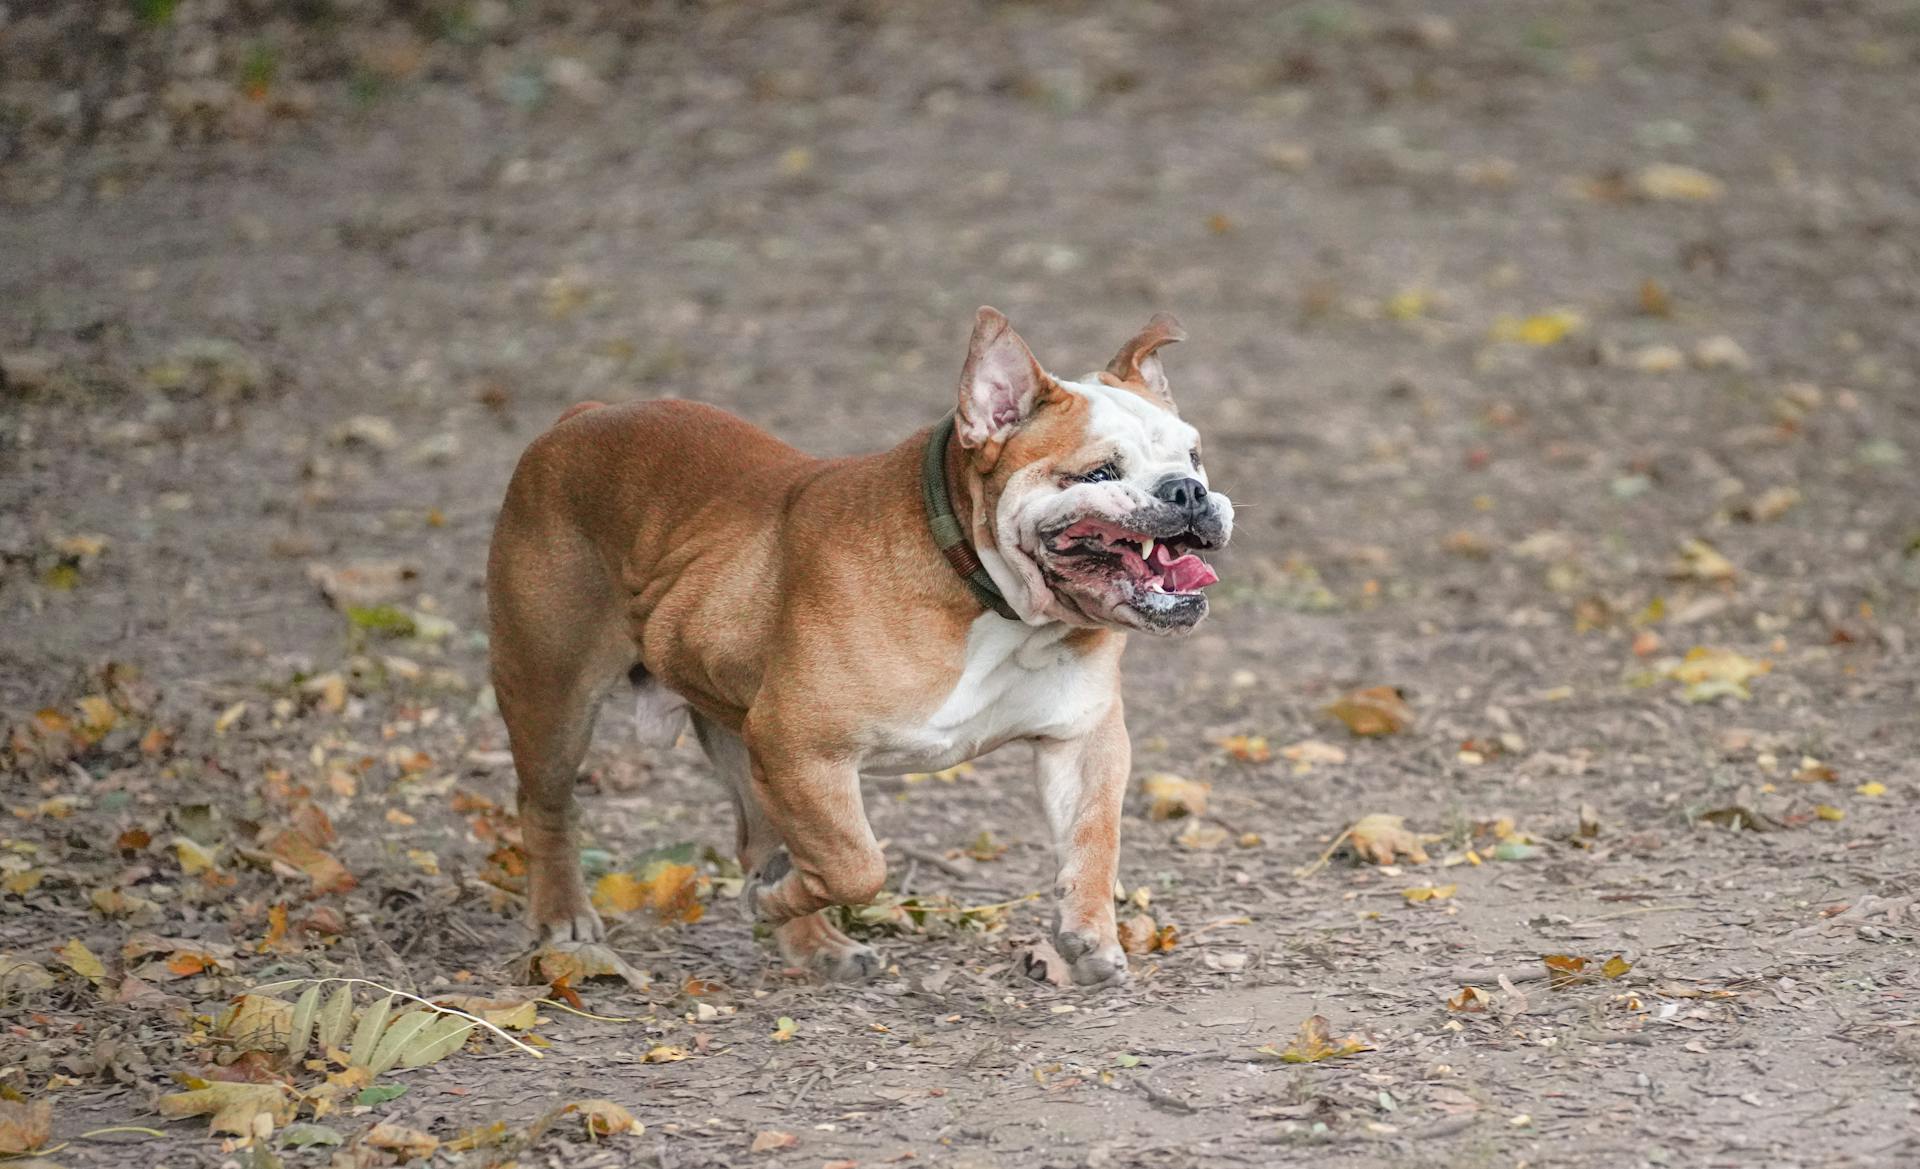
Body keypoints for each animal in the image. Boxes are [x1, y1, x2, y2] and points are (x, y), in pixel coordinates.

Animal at [487, 305, 1236, 978]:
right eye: (1100, 473)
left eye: (1194, 457)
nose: (1189, 492)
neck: (989, 596)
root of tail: (579, 416)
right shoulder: (803, 747)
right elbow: (855, 864)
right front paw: (779, 898)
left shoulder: (1082, 737)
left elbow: (1094, 836)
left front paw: (1089, 934)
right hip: (555, 694)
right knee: (547, 804)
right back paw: (564, 917)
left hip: (740, 734)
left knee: (759, 840)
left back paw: (815, 945)